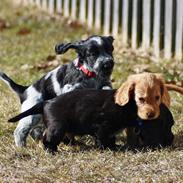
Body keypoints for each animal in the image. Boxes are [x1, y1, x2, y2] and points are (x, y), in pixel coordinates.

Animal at [8, 89, 137, 152]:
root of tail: (46, 102)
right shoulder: (102, 127)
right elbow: (103, 139)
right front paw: (108, 149)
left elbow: (110, 138)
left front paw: (114, 146)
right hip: (57, 128)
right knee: (47, 140)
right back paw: (52, 151)